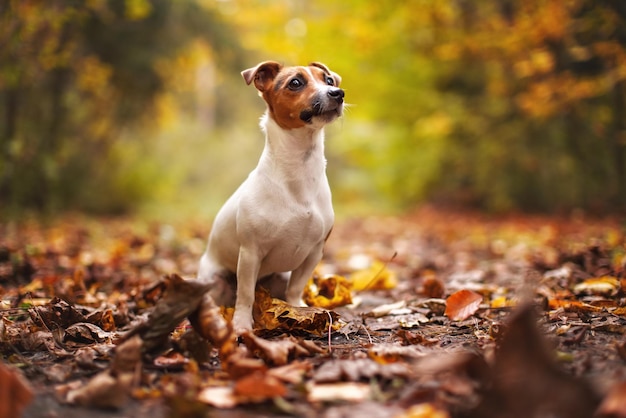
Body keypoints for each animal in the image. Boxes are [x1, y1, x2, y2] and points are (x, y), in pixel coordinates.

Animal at [197, 60, 344, 334]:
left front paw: (300, 311)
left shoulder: (314, 252)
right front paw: (242, 325)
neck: (299, 170)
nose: (338, 93)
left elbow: (295, 288)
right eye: (295, 82)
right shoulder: (250, 252)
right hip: (214, 280)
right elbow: (245, 294)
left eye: (329, 80)